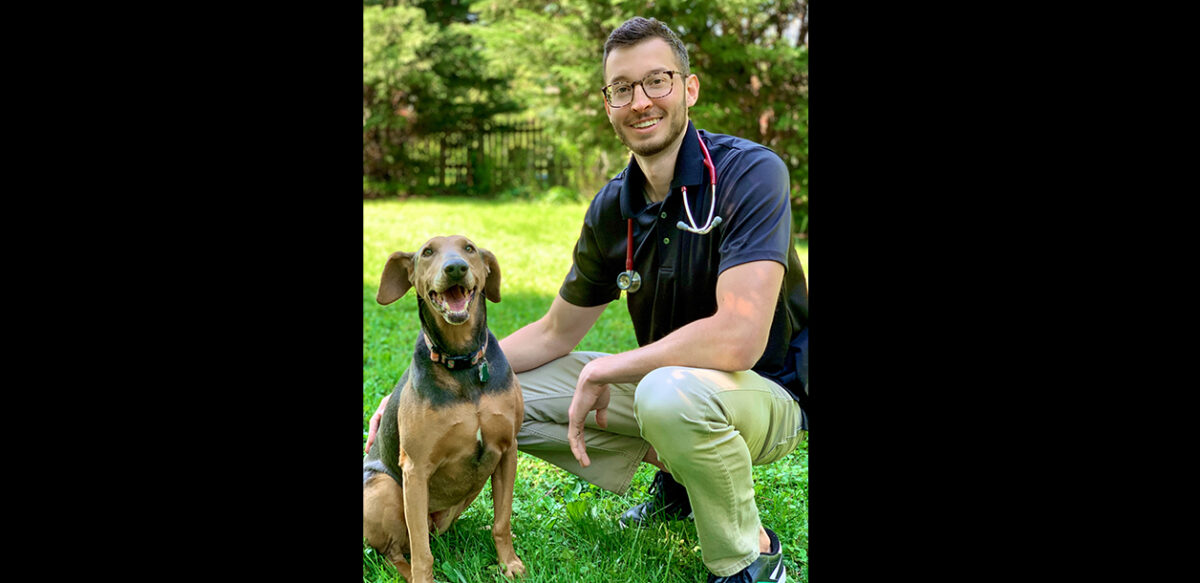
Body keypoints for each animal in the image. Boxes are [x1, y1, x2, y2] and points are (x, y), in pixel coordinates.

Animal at [364, 235, 525, 580]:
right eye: (427, 252)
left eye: (469, 249)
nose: (455, 268)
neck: (462, 362)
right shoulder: (415, 469)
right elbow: (422, 553)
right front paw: (425, 578)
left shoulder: (507, 450)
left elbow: (502, 521)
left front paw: (510, 564)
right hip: (383, 489)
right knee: (394, 552)